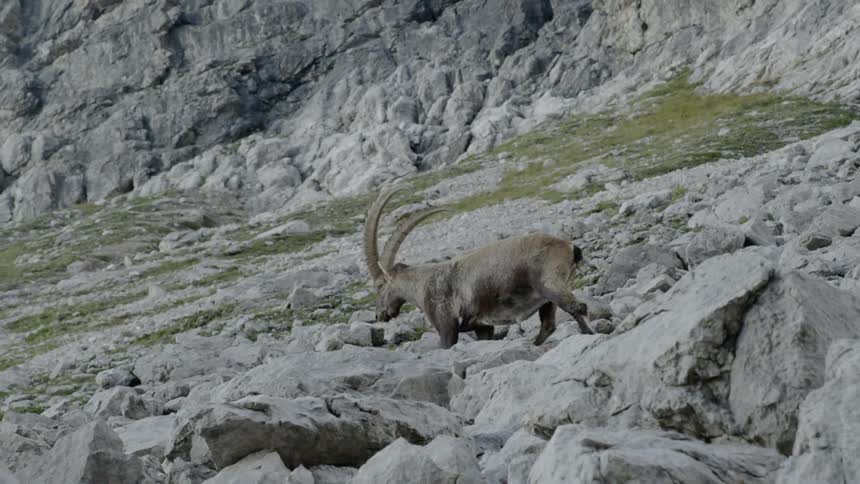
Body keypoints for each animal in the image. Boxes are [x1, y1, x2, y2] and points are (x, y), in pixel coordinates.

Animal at [363, 183, 593, 349]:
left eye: (379, 286)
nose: (379, 315)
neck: (423, 284)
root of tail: (569, 247)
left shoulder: (446, 326)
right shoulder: (483, 327)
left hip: (549, 284)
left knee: (577, 307)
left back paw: (588, 334)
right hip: (546, 300)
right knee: (548, 325)